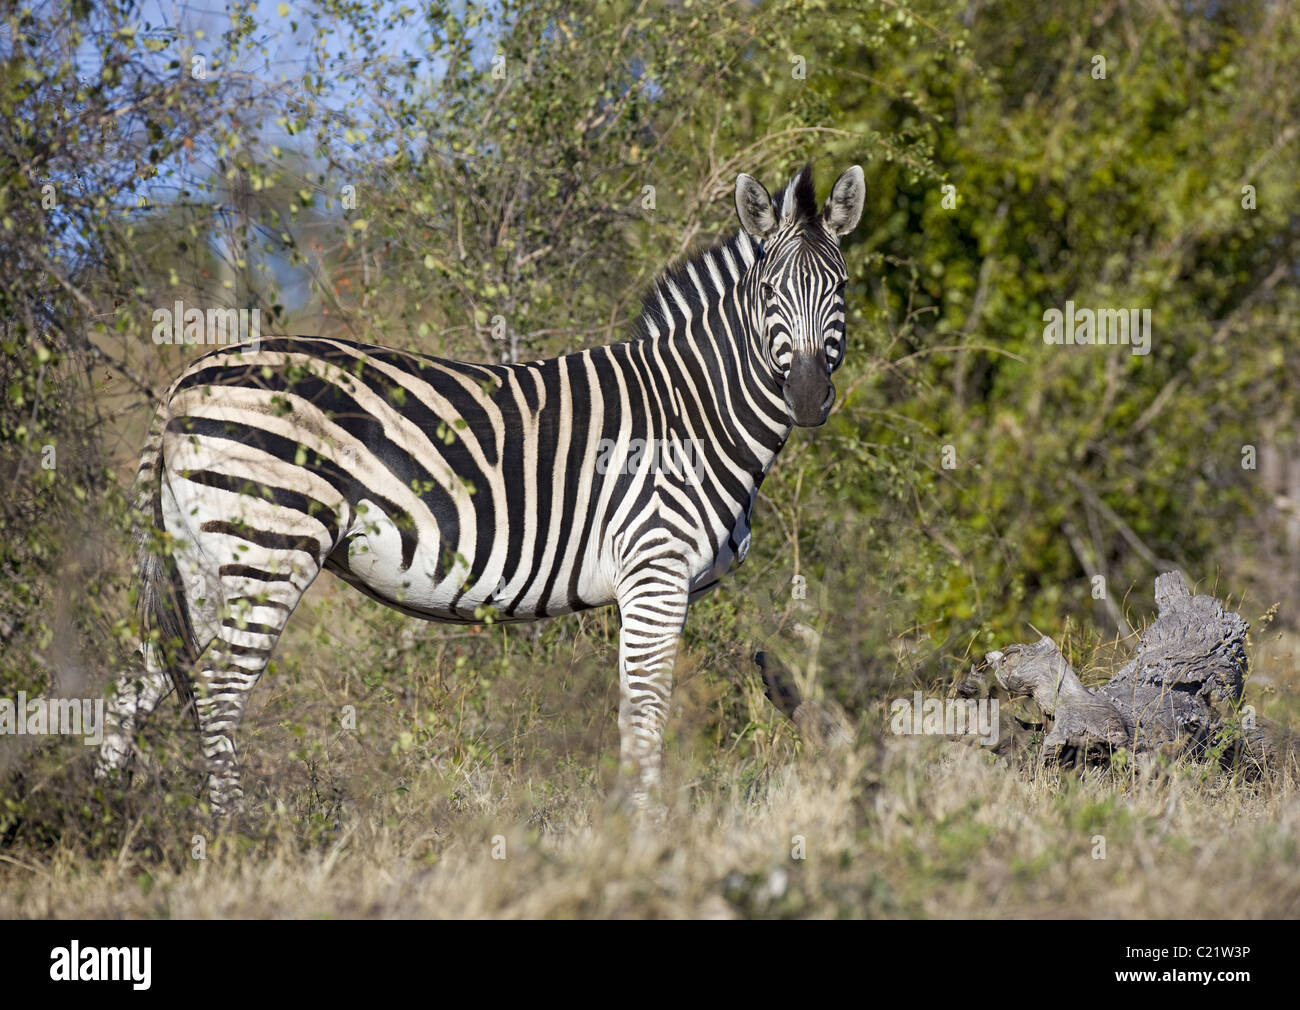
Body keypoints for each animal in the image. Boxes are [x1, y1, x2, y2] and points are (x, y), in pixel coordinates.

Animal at [98, 163, 863, 811]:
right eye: (768, 294)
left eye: (842, 291)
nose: (806, 398)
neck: (695, 409)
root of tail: (185, 377)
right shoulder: (655, 568)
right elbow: (648, 712)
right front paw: (646, 833)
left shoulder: (654, 585)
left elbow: (637, 709)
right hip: (268, 542)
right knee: (219, 690)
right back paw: (235, 829)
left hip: (198, 557)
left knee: (135, 684)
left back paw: (98, 822)